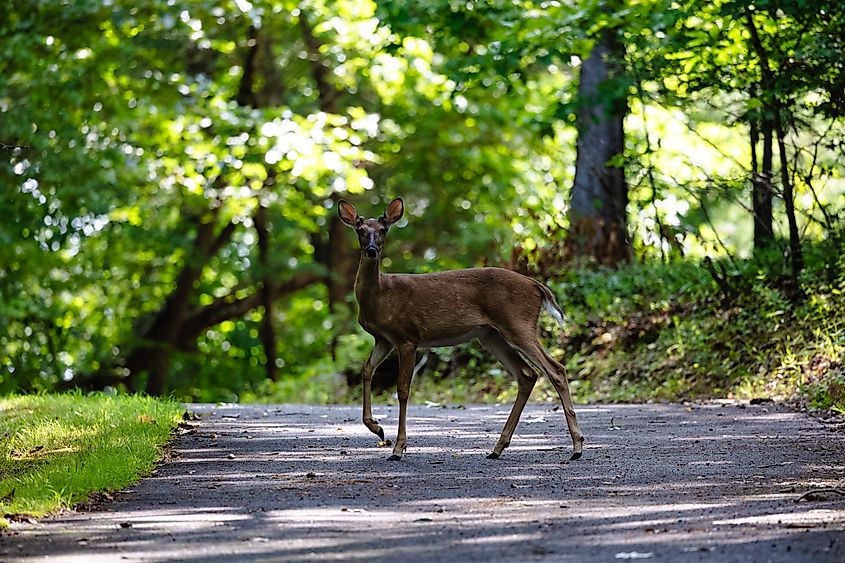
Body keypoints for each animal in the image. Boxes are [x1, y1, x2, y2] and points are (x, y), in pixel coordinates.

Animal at [338, 196, 585, 461]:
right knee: (527, 374)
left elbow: (402, 389)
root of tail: (536, 285)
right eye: (360, 230)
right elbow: (366, 370)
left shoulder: (407, 337)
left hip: (518, 323)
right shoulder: (383, 339)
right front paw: (378, 429)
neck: (381, 297)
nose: (372, 251)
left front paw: (398, 448)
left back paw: (577, 447)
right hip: (491, 335)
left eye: (384, 230)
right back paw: (498, 448)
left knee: (555, 369)